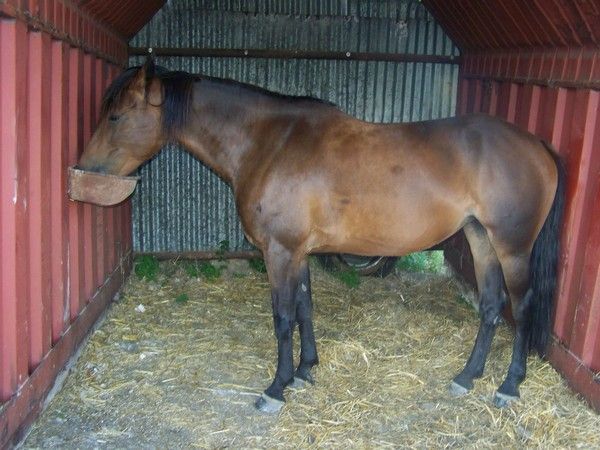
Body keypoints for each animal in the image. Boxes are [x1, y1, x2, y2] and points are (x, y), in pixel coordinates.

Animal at [78, 57, 564, 413]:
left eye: (117, 116)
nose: (84, 169)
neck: (269, 143)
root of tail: (536, 145)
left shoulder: (279, 252)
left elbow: (283, 317)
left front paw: (276, 388)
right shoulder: (298, 252)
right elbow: (305, 308)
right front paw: (306, 370)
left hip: (513, 248)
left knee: (521, 306)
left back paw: (509, 385)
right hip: (480, 240)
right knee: (491, 305)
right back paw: (467, 377)